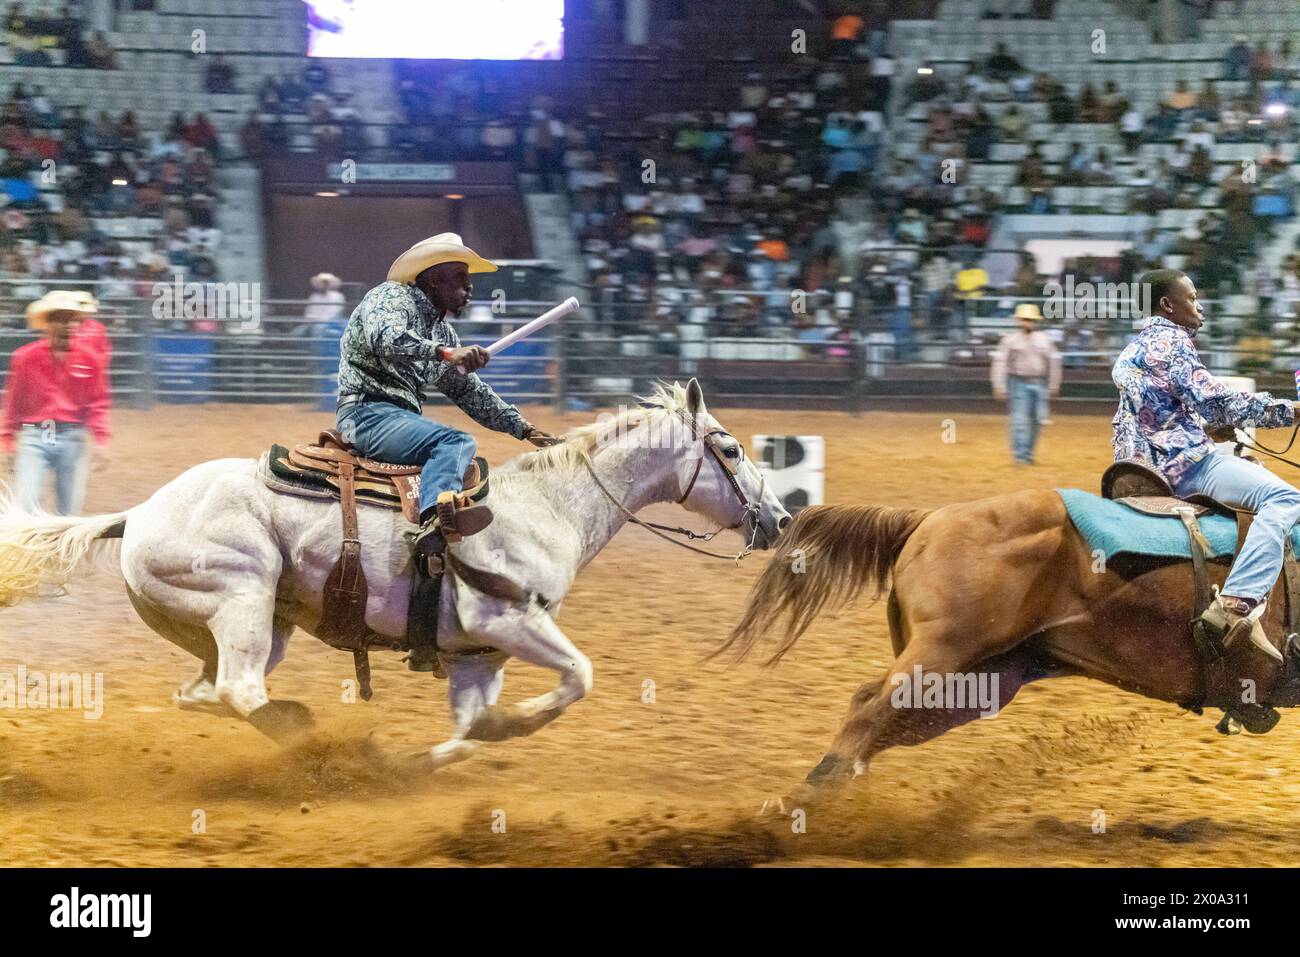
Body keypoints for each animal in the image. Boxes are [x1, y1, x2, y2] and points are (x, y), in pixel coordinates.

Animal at [0, 382, 790, 769]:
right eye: (727, 447)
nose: (781, 520)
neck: (549, 508)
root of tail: (137, 513)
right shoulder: (510, 620)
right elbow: (579, 677)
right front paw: (511, 725)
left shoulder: (479, 655)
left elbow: (466, 732)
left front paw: (429, 756)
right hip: (242, 598)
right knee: (240, 689)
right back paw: (306, 733)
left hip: (252, 624)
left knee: (202, 692)